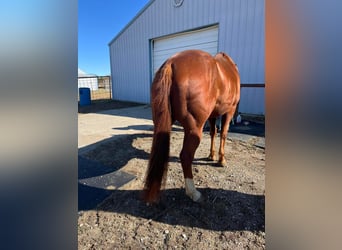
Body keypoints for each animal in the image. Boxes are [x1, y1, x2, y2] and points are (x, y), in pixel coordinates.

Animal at [143, 49, 239, 203]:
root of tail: (171, 63)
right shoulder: (229, 111)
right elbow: (223, 133)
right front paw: (221, 159)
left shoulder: (213, 115)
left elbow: (213, 132)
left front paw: (211, 155)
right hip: (195, 129)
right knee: (185, 156)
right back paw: (193, 192)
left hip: (161, 123)